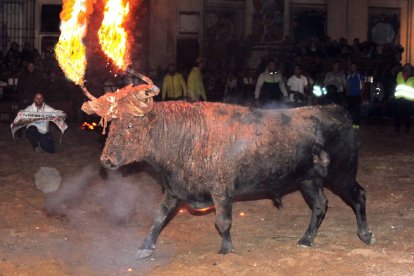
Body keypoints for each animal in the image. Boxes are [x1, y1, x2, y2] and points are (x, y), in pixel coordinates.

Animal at [101, 102, 376, 258]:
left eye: (130, 126)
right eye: (112, 126)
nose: (106, 159)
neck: (186, 134)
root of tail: (336, 110)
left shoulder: (221, 192)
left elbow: (223, 222)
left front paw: (227, 250)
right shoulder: (174, 190)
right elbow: (159, 218)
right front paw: (144, 247)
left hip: (341, 175)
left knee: (358, 196)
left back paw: (365, 235)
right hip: (309, 182)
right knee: (320, 205)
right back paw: (306, 240)